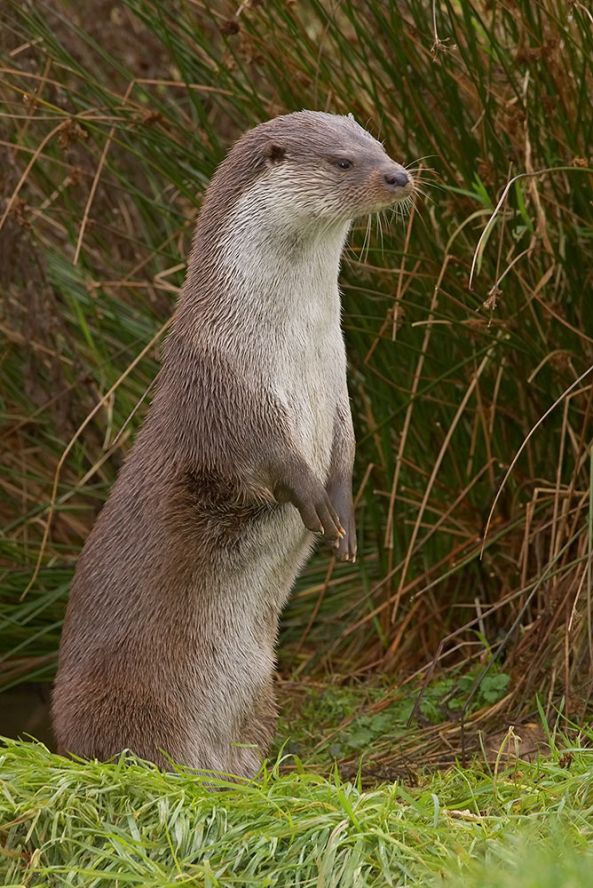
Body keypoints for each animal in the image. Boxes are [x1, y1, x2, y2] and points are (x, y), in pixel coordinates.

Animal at [52, 112, 412, 776]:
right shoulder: (226, 391)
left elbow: (346, 455)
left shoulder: (338, 385)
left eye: (379, 145)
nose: (399, 176)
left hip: (259, 695)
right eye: (343, 161)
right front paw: (311, 498)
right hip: (131, 699)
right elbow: (264, 457)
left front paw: (344, 518)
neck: (293, 348)